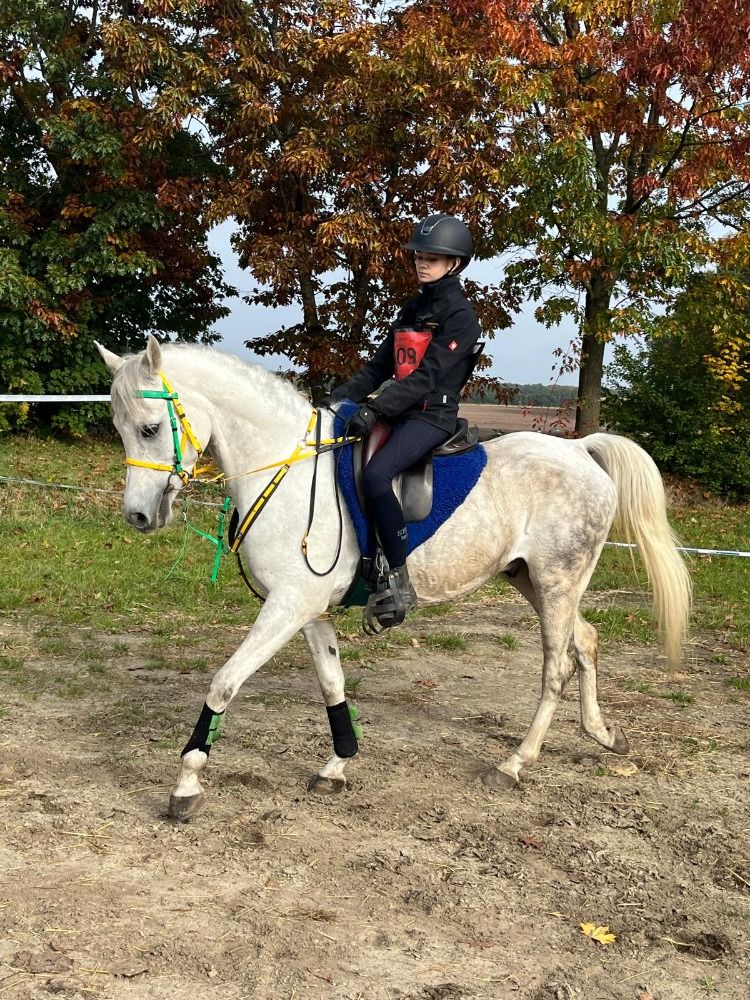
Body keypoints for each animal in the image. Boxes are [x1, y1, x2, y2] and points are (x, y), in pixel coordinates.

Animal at [97, 336, 692, 821]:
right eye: (121, 430)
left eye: (151, 428)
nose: (139, 517)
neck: (287, 468)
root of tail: (577, 448)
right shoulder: (306, 608)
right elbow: (332, 682)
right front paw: (338, 764)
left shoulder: (289, 604)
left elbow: (224, 681)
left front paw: (186, 784)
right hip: (534, 580)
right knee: (585, 640)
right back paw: (602, 733)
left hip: (556, 582)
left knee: (557, 667)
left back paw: (515, 763)